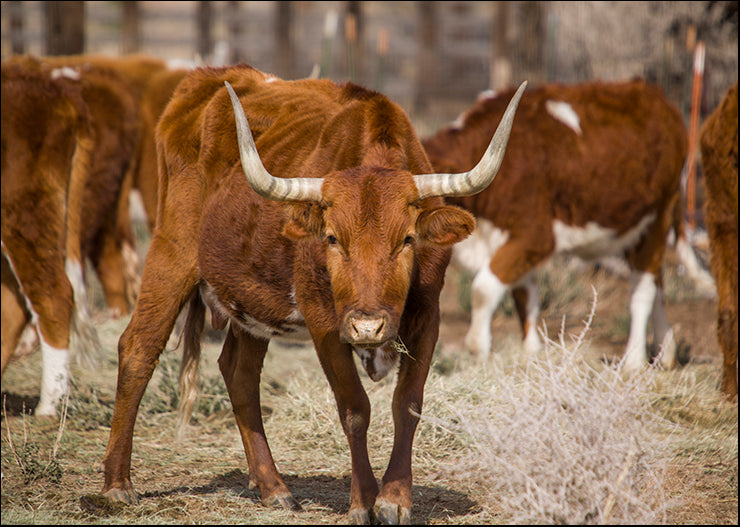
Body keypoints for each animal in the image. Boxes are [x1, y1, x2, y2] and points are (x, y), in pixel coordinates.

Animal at [99, 63, 528, 524]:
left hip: (251, 299)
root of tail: (207, 78)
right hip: (171, 251)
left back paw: (273, 487)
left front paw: (395, 498)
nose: (367, 326)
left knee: (239, 372)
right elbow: (355, 408)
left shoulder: (428, 317)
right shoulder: (324, 323)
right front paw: (363, 502)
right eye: (332, 238)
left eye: (408, 239)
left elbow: (408, 403)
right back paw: (117, 484)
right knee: (139, 347)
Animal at [422, 80, 712, 374]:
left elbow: (483, 288)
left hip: (658, 217)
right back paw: (666, 352)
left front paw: (479, 351)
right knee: (657, 281)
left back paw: (634, 361)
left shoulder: (535, 237)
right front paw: (532, 354)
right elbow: (525, 297)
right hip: (637, 228)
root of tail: (652, 92)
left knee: (643, 288)